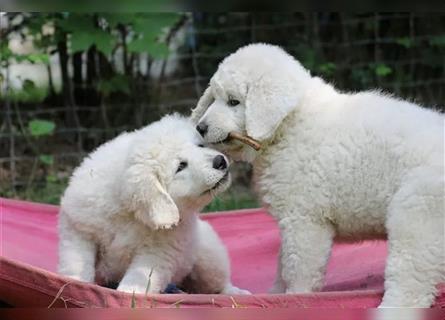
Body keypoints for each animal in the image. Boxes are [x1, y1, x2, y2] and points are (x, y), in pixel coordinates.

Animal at [57, 114, 248, 296]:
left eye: (200, 146)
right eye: (181, 166)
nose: (220, 161)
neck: (129, 211)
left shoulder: (158, 252)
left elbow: (139, 278)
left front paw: (128, 295)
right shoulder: (80, 231)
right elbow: (77, 263)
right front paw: (73, 285)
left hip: (209, 258)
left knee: (217, 284)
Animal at [192, 43, 444, 308]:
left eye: (234, 101)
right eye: (213, 98)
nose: (200, 127)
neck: (289, 124)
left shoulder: (304, 220)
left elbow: (298, 268)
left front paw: (294, 298)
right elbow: (283, 263)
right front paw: (274, 295)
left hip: (417, 216)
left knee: (410, 280)